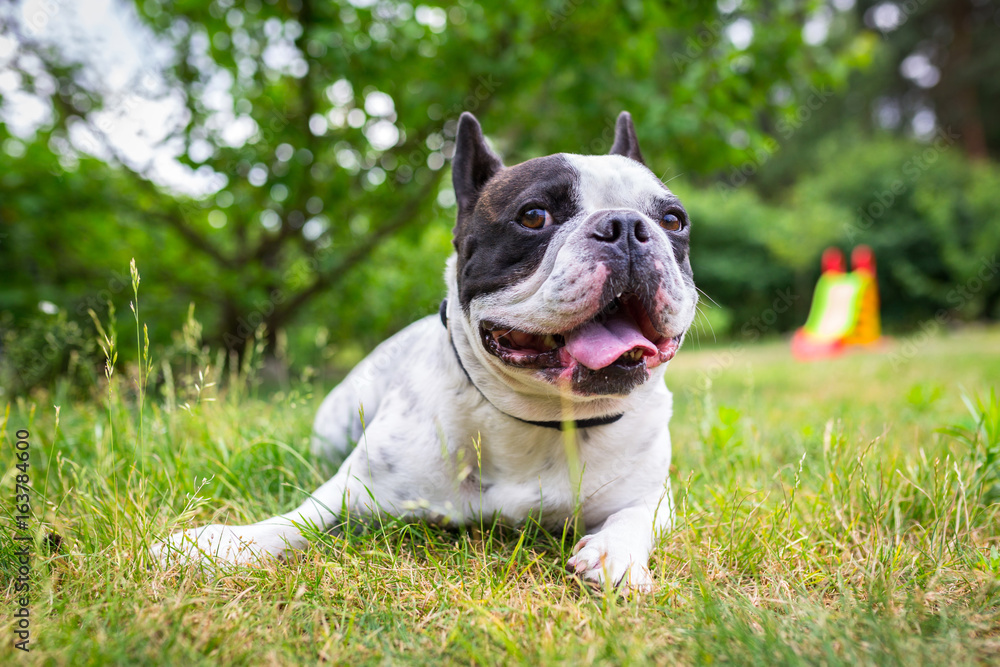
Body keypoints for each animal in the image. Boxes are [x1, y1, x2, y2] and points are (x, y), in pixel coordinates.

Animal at [156, 113, 700, 588]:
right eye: (533, 216)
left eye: (674, 221)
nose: (626, 226)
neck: (542, 418)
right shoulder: (349, 492)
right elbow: (292, 521)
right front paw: (221, 543)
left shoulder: (653, 497)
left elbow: (635, 517)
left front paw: (614, 552)